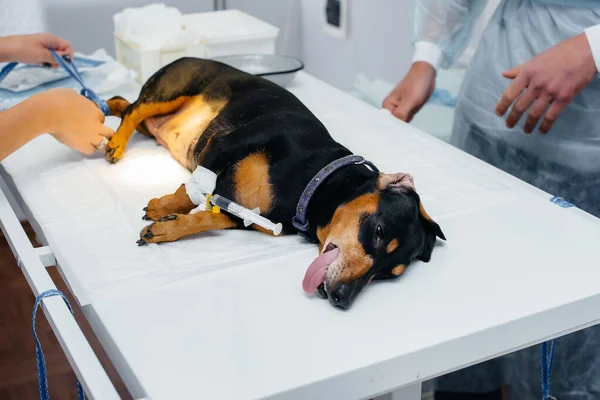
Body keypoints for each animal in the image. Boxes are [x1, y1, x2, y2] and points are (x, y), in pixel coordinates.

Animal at [104, 57, 446, 310]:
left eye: (388, 274)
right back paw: (117, 143)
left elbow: (203, 218)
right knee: (133, 109)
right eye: (378, 232)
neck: (308, 179)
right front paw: (164, 207)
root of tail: (188, 56)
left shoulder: (239, 213)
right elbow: (192, 192)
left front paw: (167, 227)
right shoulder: (223, 143)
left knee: (123, 104)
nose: (343, 299)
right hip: (169, 92)